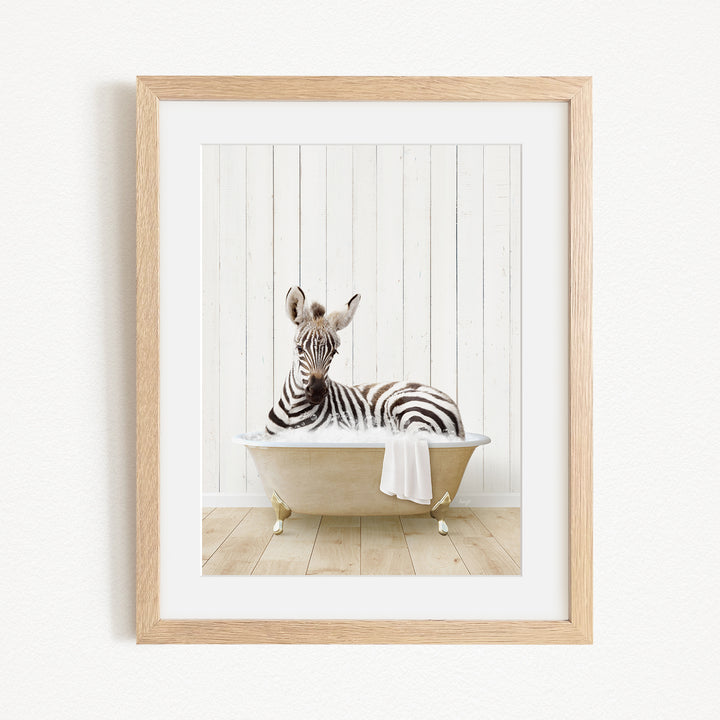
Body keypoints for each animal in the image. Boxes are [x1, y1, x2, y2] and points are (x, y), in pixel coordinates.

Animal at [265, 286, 465, 438]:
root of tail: (455, 408)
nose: (317, 391)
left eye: (334, 353)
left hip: (408, 407)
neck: (292, 411)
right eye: (299, 349)